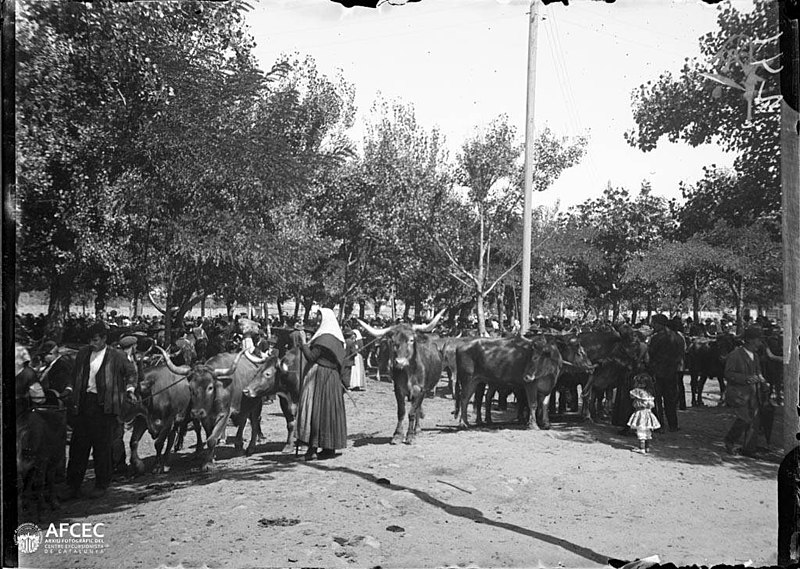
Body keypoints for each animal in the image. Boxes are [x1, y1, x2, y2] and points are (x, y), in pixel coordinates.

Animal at [358, 310, 446, 444]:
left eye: (411, 340)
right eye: (393, 341)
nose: (400, 362)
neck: (409, 372)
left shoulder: (420, 391)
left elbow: (412, 413)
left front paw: (410, 435)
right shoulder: (398, 390)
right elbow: (401, 412)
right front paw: (398, 435)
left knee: (418, 409)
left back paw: (417, 430)